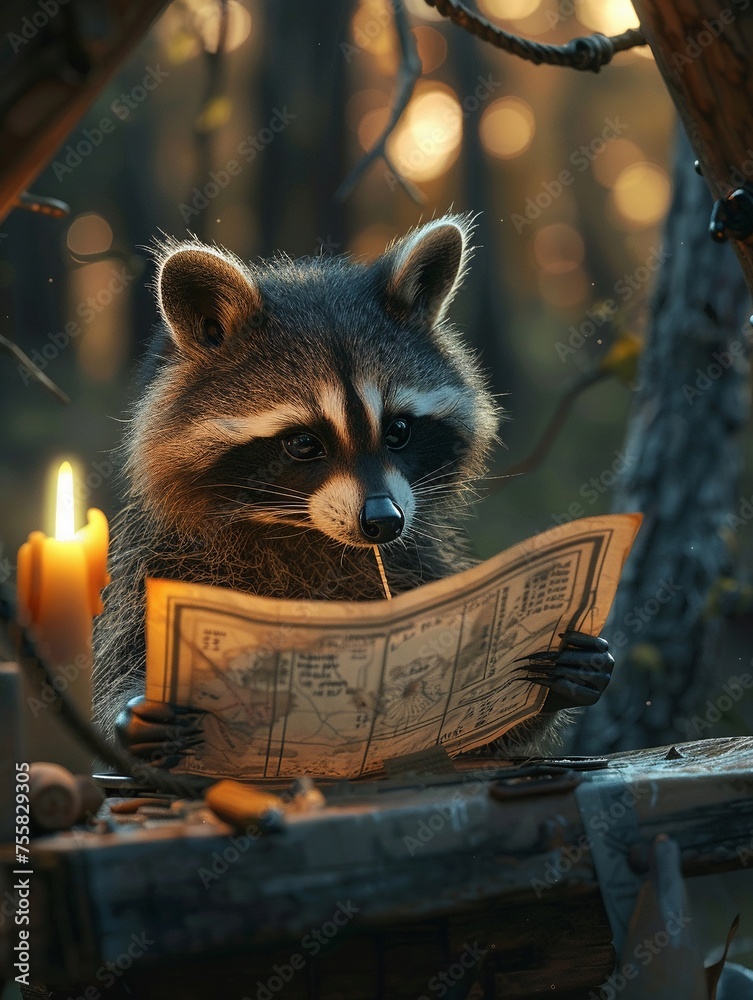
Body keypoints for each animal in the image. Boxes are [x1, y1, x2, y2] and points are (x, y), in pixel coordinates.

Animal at [93, 214, 613, 763]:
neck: (304, 532)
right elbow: (125, 654)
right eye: (303, 443)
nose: (383, 521)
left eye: (399, 431)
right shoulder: (161, 557)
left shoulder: (412, 559)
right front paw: (132, 713)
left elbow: (473, 738)